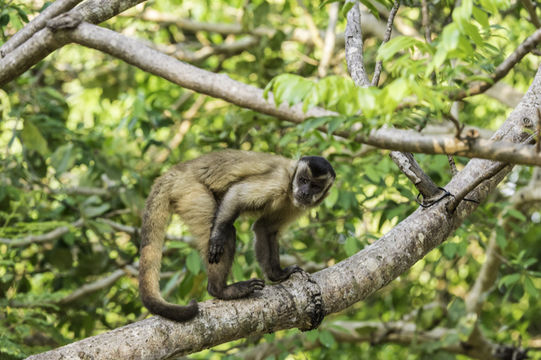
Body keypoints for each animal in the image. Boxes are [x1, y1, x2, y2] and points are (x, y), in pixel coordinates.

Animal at [139, 149, 334, 320]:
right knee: (226, 230)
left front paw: (277, 275)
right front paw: (217, 234)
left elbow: (265, 228)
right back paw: (220, 290)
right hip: (189, 189)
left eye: (315, 186)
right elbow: (237, 194)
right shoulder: (279, 180)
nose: (305, 192)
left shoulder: (295, 204)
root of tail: (176, 171)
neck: (290, 184)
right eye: (303, 179)